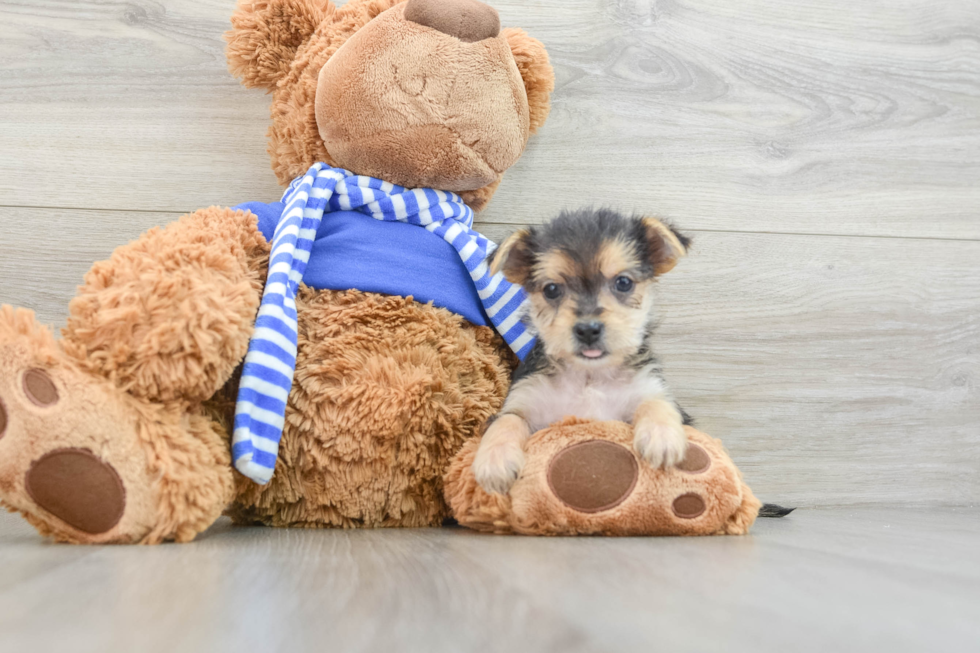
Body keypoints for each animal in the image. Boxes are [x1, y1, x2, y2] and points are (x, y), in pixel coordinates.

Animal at [472, 206, 688, 492]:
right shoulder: (525, 399)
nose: (588, 329)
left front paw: (661, 435)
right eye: (552, 289)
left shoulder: (648, 388)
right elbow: (507, 419)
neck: (589, 377)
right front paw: (494, 461)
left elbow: (657, 403)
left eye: (623, 283)